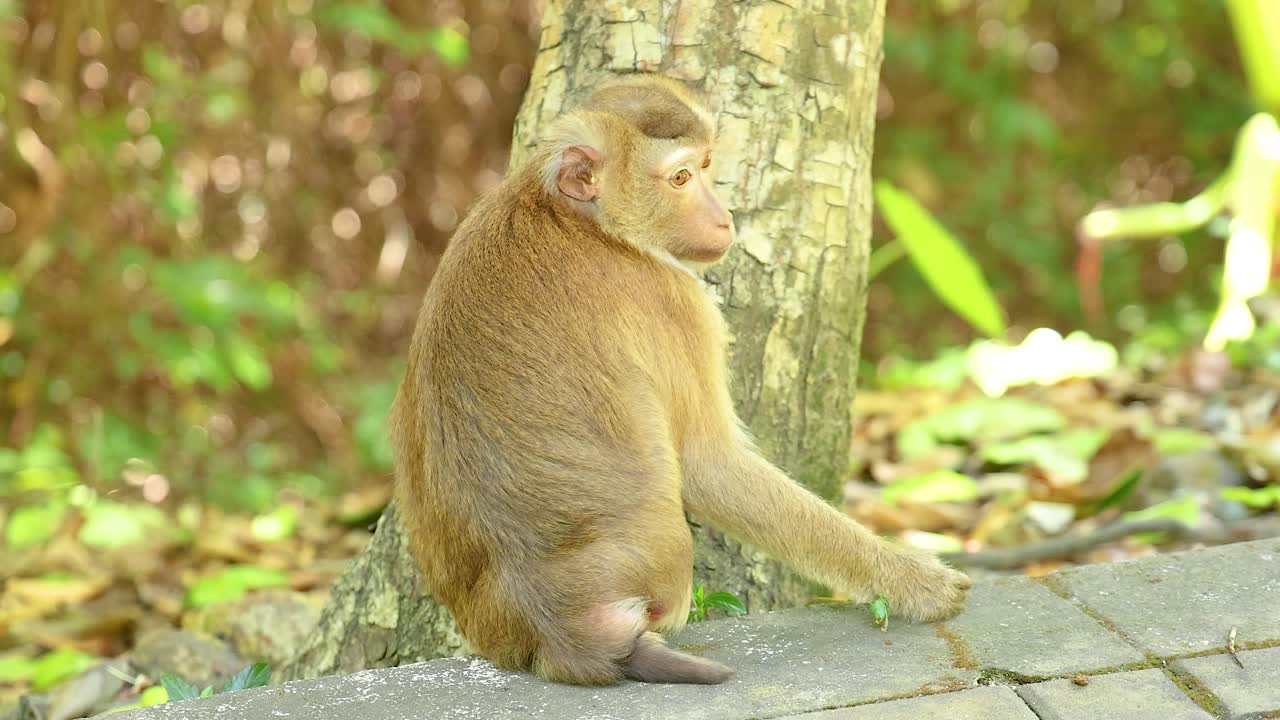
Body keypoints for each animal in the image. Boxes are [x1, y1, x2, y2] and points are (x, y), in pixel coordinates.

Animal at [389, 75, 971, 687]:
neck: (581, 217)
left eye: (705, 166)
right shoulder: (674, 298)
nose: (724, 217)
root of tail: (559, 630)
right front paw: (913, 581)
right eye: (681, 178)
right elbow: (708, 463)